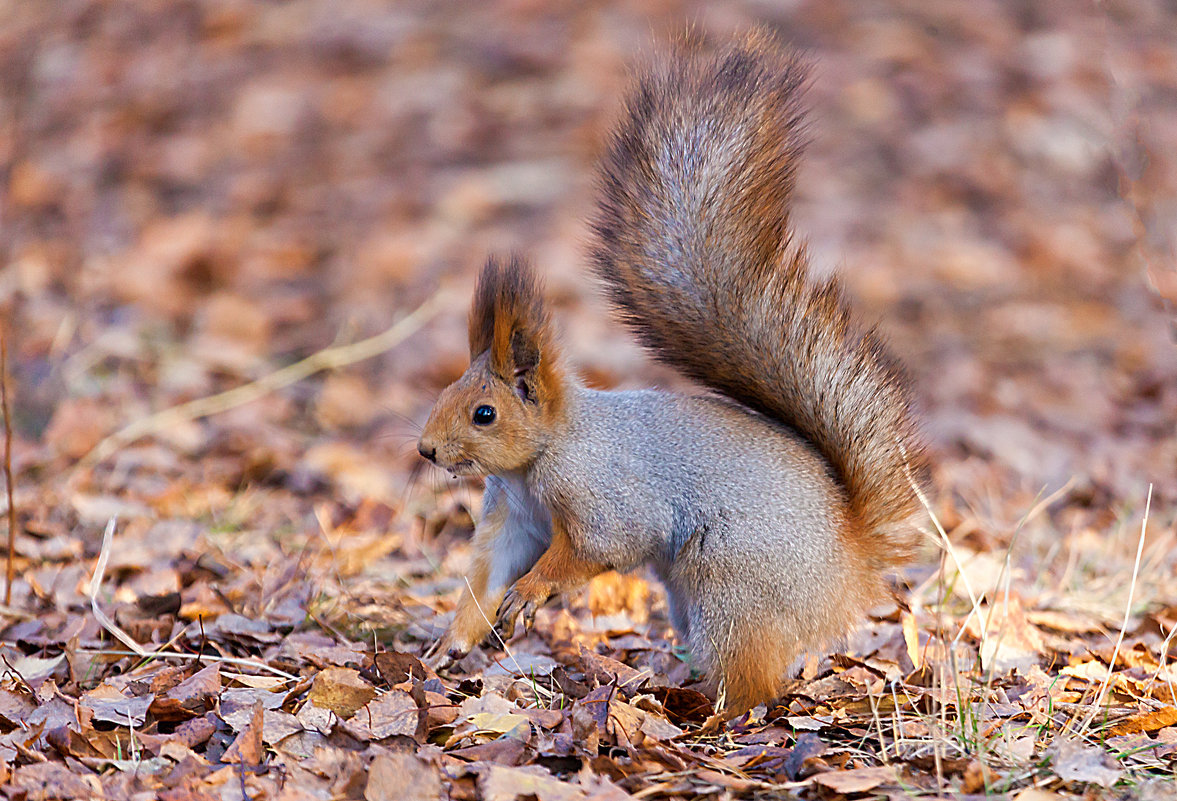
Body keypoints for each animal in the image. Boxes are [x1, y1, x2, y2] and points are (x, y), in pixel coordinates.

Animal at [419, 29, 922, 719]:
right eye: (446, 391)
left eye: (484, 413)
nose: (425, 450)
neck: (539, 460)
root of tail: (850, 563)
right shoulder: (510, 521)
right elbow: (485, 577)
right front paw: (452, 639)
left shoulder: (608, 496)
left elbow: (600, 547)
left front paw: (534, 590)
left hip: (730, 587)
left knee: (754, 683)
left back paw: (704, 715)